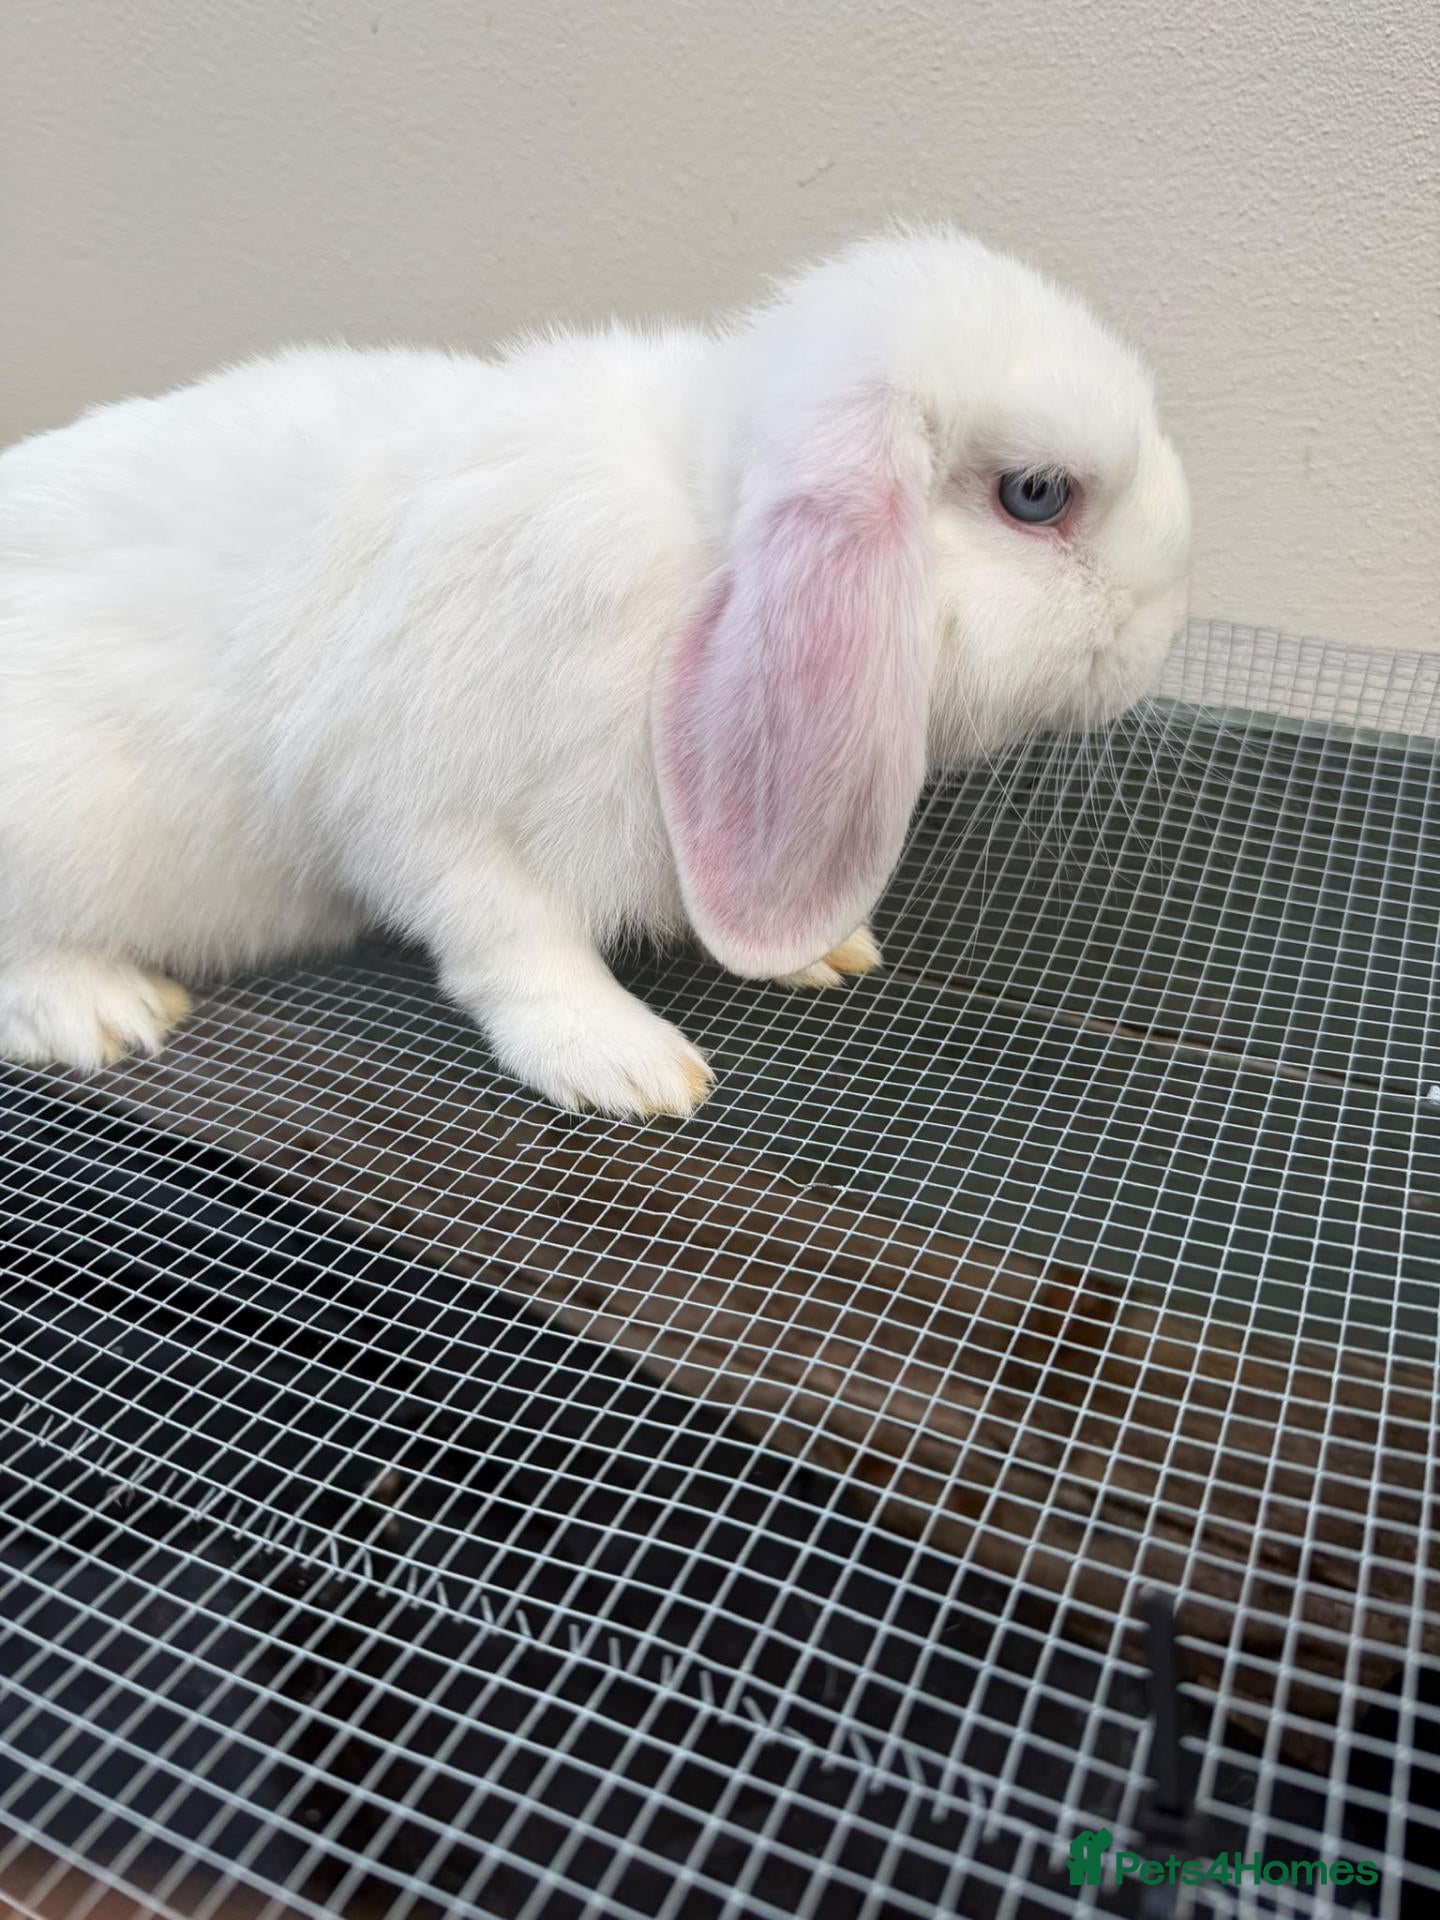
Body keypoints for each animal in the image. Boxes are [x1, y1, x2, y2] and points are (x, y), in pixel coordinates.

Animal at [0, 226, 1191, 1118]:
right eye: (1037, 494)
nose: (1165, 626)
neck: (704, 542)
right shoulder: (415, 808)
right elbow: (514, 941)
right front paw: (628, 1064)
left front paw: (825, 950)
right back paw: (102, 1010)